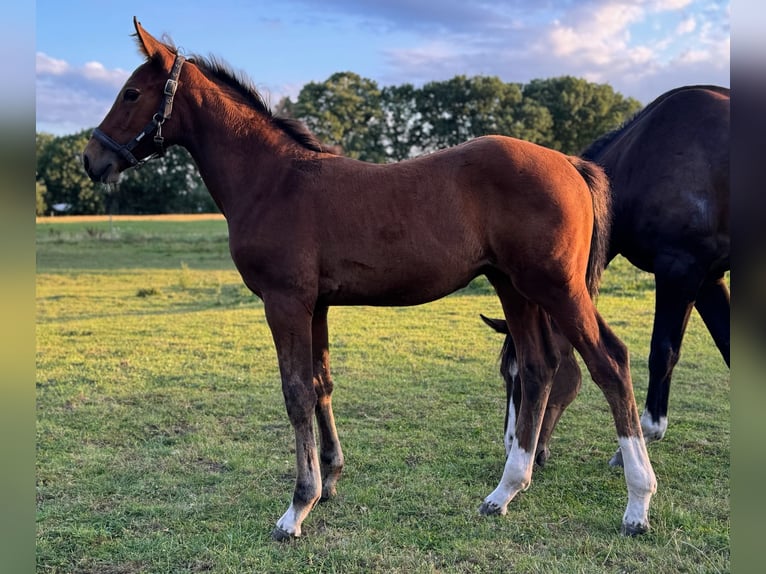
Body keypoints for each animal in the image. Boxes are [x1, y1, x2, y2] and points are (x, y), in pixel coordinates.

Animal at [83, 17, 656, 539]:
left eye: (131, 92)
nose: (92, 160)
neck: (274, 180)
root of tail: (571, 162)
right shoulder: (315, 305)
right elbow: (321, 383)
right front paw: (330, 480)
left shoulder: (284, 302)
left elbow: (296, 392)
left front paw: (297, 507)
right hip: (514, 287)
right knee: (538, 369)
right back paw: (504, 492)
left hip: (557, 288)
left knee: (609, 362)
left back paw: (637, 503)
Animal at [482, 85, 730, 467]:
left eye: (521, 377)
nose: (514, 446)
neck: (645, 159)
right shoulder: (709, 279)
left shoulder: (681, 268)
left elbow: (663, 352)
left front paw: (641, 439)